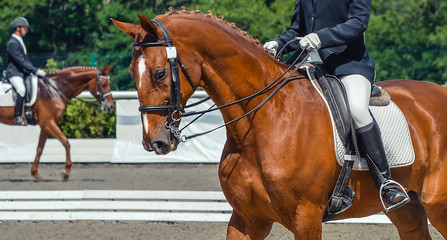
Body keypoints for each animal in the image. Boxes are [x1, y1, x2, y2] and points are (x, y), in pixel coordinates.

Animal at [113, 11, 447, 240]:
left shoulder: (306, 219)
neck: (263, 120)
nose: (154, 142)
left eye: (159, 73)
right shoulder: (247, 219)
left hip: (438, 204)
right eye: (131, 71)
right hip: (408, 209)